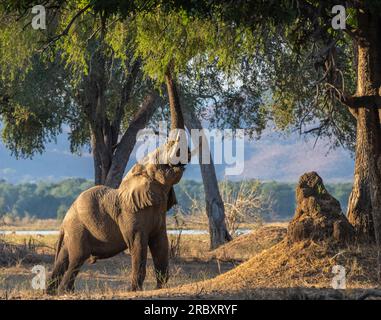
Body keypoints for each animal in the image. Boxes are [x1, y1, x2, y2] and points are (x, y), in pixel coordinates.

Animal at [46, 139, 188, 294]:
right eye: (159, 158)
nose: (172, 141)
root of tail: (63, 222)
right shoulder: (130, 214)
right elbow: (138, 244)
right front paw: (134, 290)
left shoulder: (159, 215)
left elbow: (160, 243)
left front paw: (160, 287)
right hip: (78, 229)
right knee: (77, 258)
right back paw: (65, 292)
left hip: (73, 232)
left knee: (64, 258)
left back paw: (51, 292)